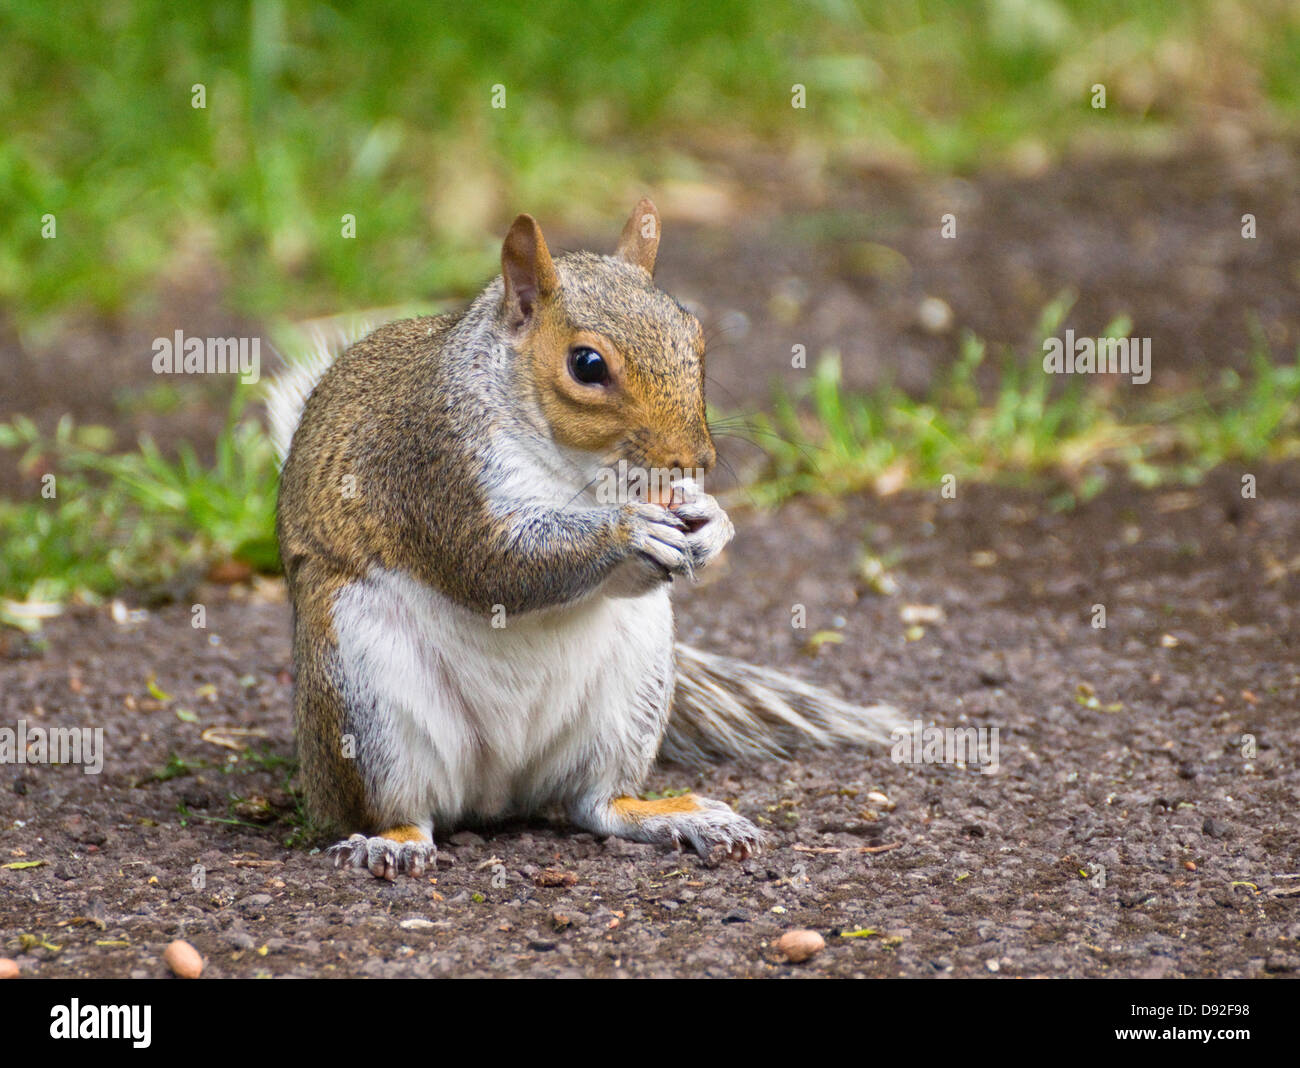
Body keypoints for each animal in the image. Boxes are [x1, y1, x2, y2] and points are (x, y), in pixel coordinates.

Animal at [271, 198, 904, 878]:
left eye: (696, 340)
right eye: (587, 364)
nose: (693, 461)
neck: (583, 472)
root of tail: (495, 792)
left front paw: (712, 521)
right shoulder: (437, 468)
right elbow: (494, 562)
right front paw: (628, 529)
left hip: (633, 690)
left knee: (595, 804)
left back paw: (677, 816)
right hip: (363, 697)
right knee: (402, 807)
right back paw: (393, 842)